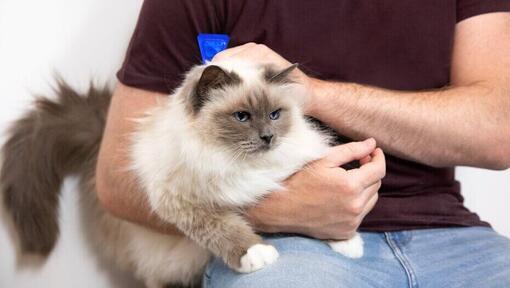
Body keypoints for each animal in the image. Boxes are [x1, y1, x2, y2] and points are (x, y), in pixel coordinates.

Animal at [1, 59, 364, 286]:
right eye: (242, 117)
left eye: (275, 114)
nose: (268, 138)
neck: (238, 162)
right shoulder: (184, 202)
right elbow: (225, 229)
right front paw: (257, 254)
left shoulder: (291, 170)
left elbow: (321, 218)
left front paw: (348, 243)